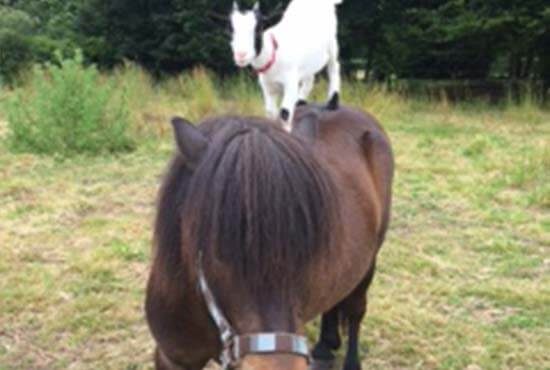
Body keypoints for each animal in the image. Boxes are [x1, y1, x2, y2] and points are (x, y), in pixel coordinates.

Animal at [229, 0, 340, 131]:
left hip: (332, 43)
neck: (274, 53)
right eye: (230, 30)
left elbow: (284, 113)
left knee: (334, 66)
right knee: (310, 77)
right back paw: (300, 101)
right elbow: (271, 112)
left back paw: (333, 101)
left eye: (259, 29)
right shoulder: (267, 86)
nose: (241, 55)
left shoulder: (290, 82)